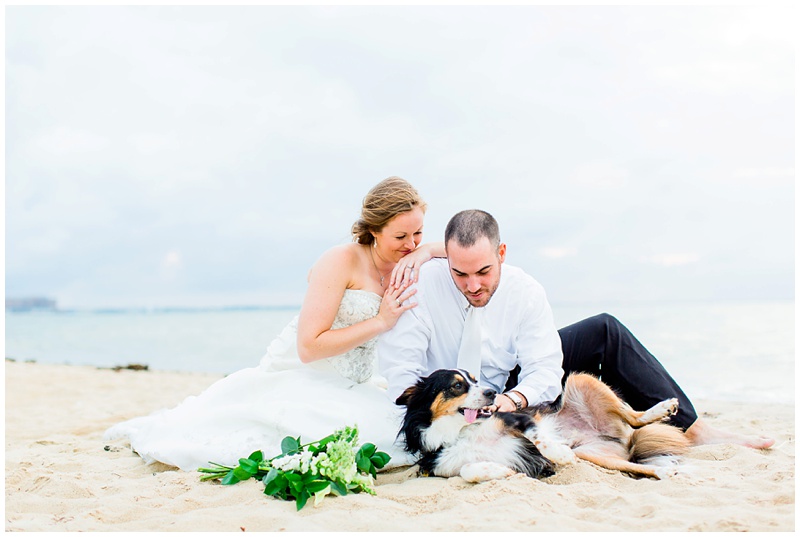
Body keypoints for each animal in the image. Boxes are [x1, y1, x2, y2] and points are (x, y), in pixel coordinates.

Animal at [396, 368, 692, 482]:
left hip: (581, 379)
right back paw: (668, 472)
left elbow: (538, 436)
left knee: (633, 417)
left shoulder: (518, 418)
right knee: (638, 466)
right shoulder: (441, 465)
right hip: (596, 456)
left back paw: (663, 408)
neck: (460, 432)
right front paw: (502, 471)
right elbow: (468, 470)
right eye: (457, 385)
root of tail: (620, 437)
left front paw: (560, 452)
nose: (493, 392)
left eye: (475, 380)